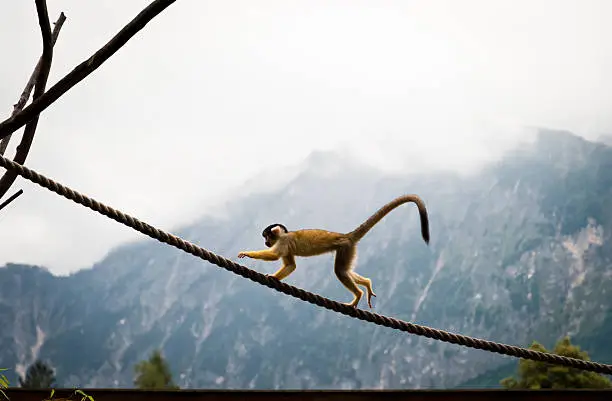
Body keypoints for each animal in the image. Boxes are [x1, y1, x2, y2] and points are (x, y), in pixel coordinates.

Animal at [237, 195, 428, 310]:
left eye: (266, 237)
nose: (265, 242)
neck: (283, 235)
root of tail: (347, 235)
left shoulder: (284, 241)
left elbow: (275, 256)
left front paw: (248, 254)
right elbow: (291, 265)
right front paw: (275, 278)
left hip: (345, 247)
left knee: (339, 271)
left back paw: (358, 295)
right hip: (349, 249)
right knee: (345, 270)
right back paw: (366, 284)